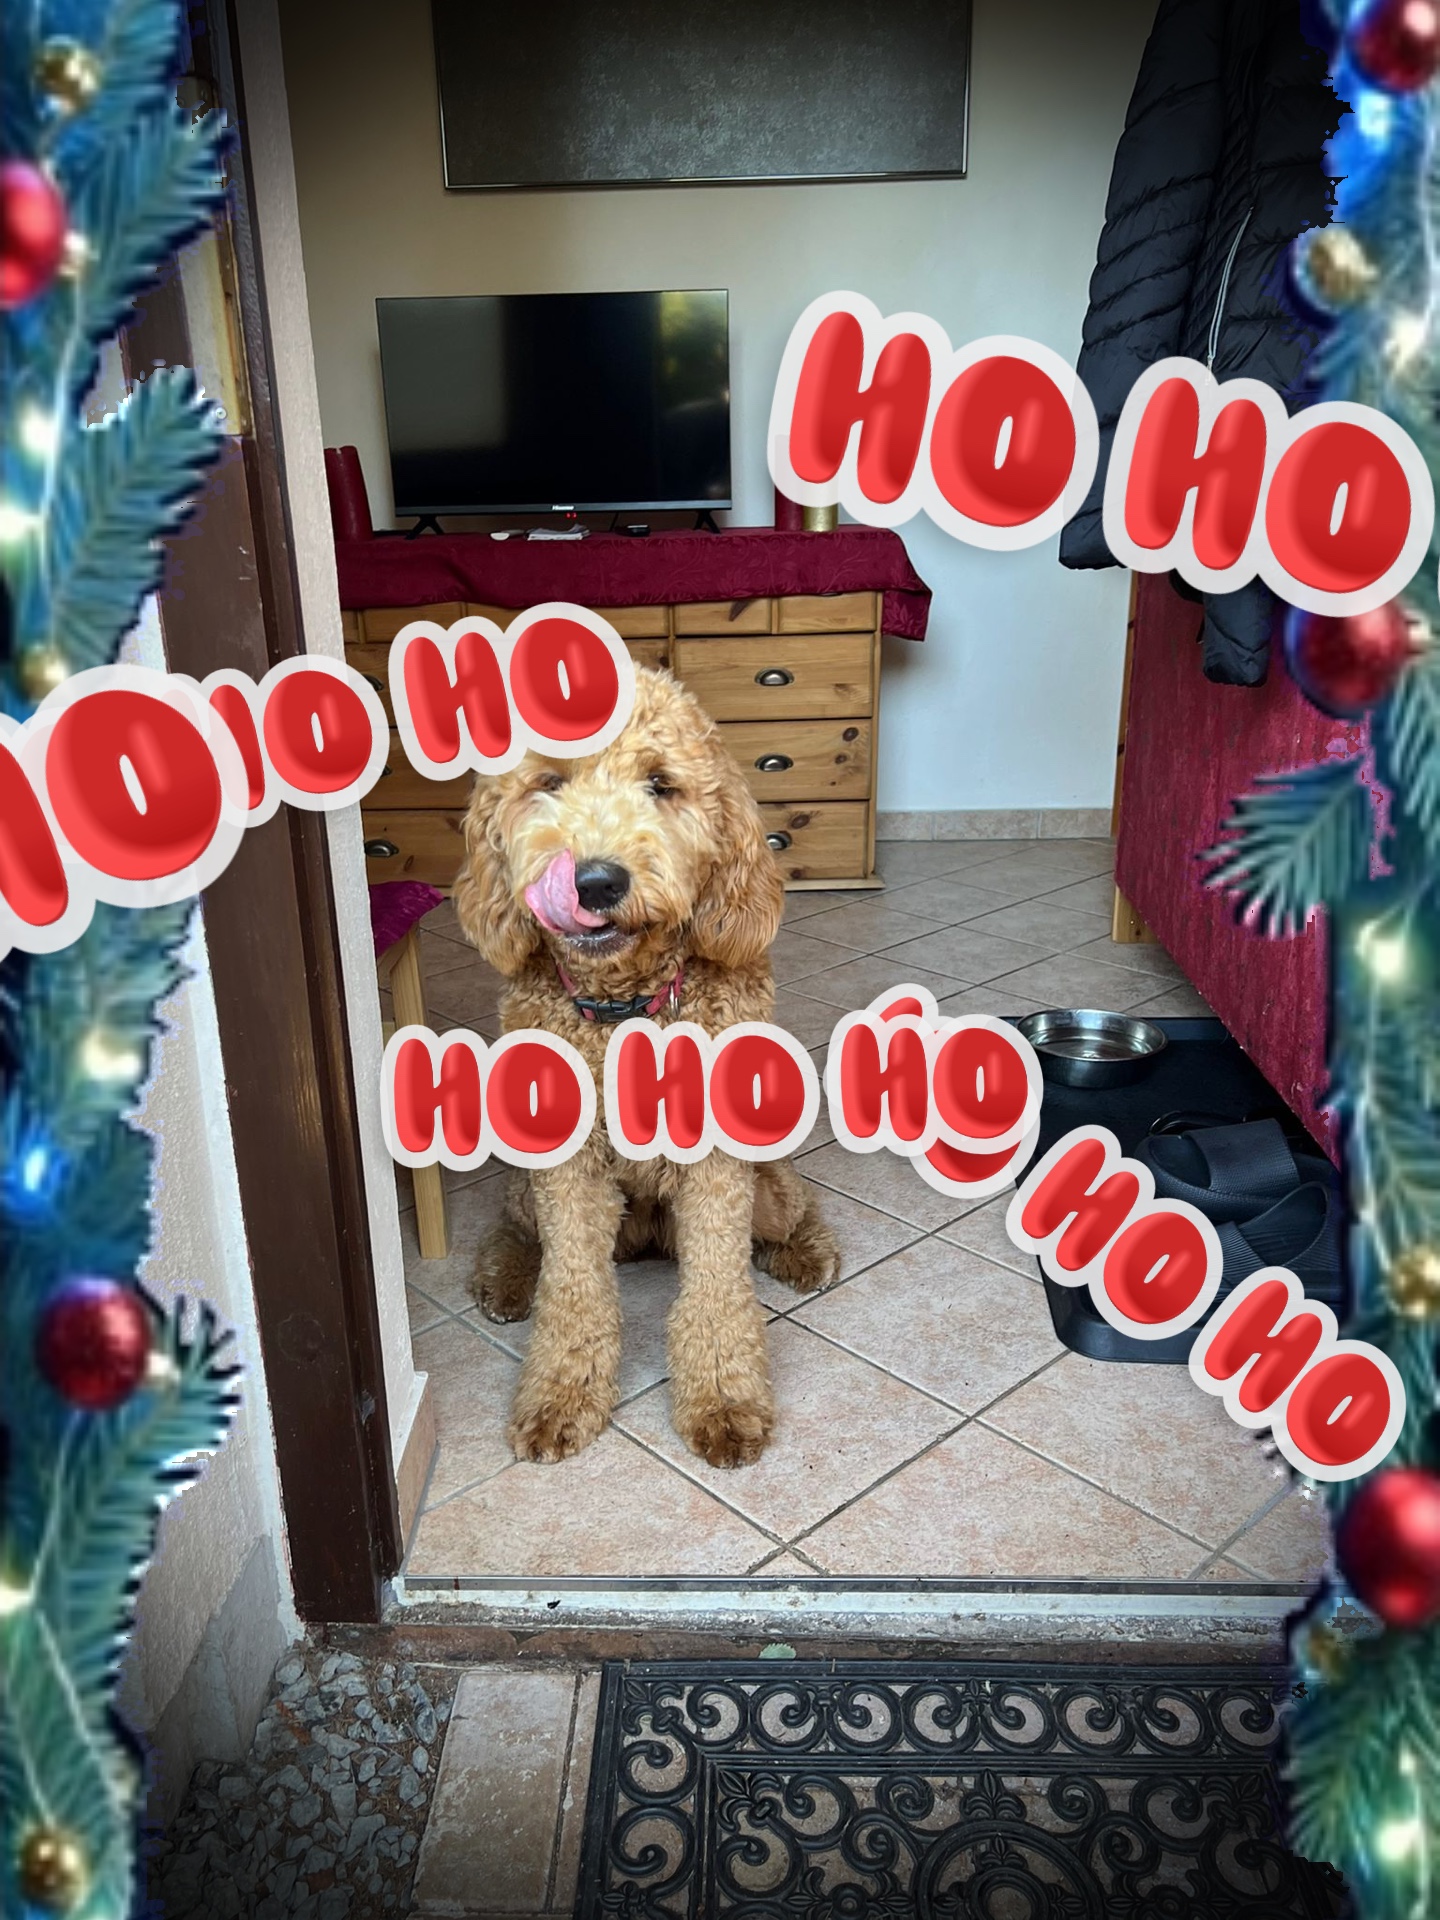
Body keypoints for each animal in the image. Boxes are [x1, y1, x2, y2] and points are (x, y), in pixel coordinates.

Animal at [453, 667, 841, 1469]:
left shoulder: (720, 1165)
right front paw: (560, 1394)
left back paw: (805, 1252)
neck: (625, 1008)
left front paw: (723, 1400)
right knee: (517, 1230)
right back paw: (506, 1279)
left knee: (793, 1204)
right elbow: (572, 1285)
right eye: (550, 783)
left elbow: (719, 1285)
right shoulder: (565, 1169)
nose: (596, 881)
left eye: (661, 785)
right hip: (525, 1184)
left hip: (765, 1180)